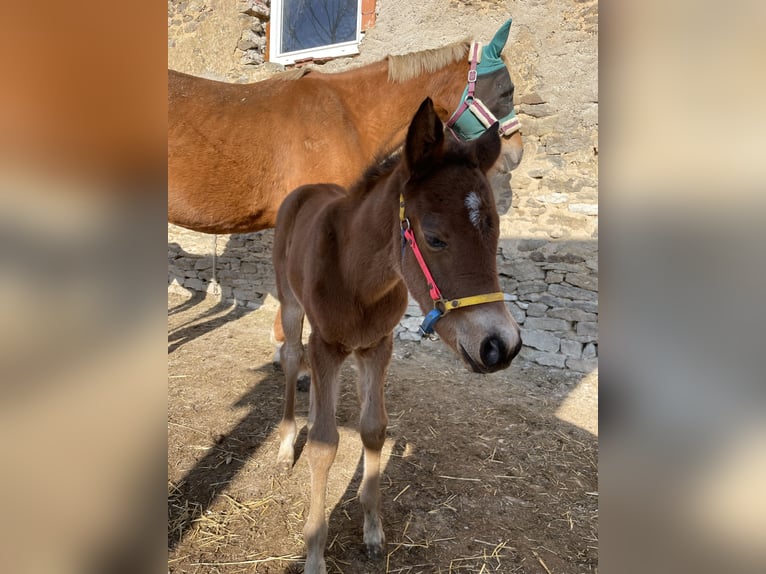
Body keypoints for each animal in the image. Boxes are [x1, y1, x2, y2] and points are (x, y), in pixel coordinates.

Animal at [274, 97, 520, 572]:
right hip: (291, 305)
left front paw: (372, 532)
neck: (357, 278)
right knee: (292, 357)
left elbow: (373, 429)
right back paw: (285, 442)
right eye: (434, 237)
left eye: (495, 230)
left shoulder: (377, 347)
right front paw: (314, 554)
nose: (500, 346)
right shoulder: (327, 345)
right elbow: (324, 445)